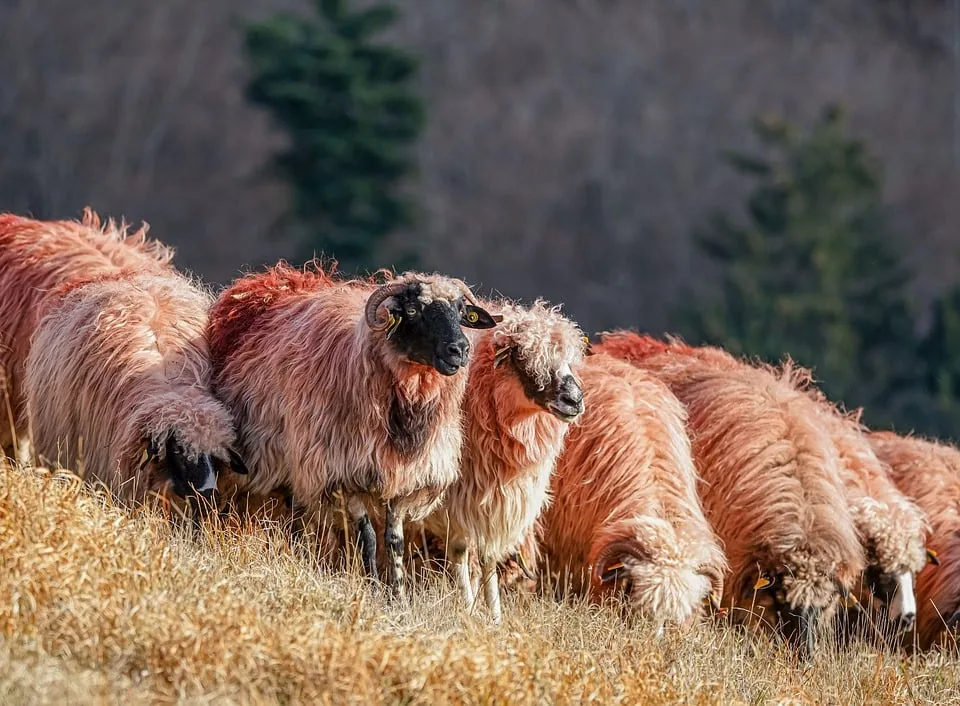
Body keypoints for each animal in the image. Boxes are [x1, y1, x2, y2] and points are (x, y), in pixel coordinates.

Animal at [206, 262, 498, 592]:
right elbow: (368, 538)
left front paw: (397, 592)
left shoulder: (403, 479)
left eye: (461, 311)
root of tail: (275, 279)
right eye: (412, 310)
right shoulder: (345, 472)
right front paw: (373, 586)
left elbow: (394, 541)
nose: (459, 349)